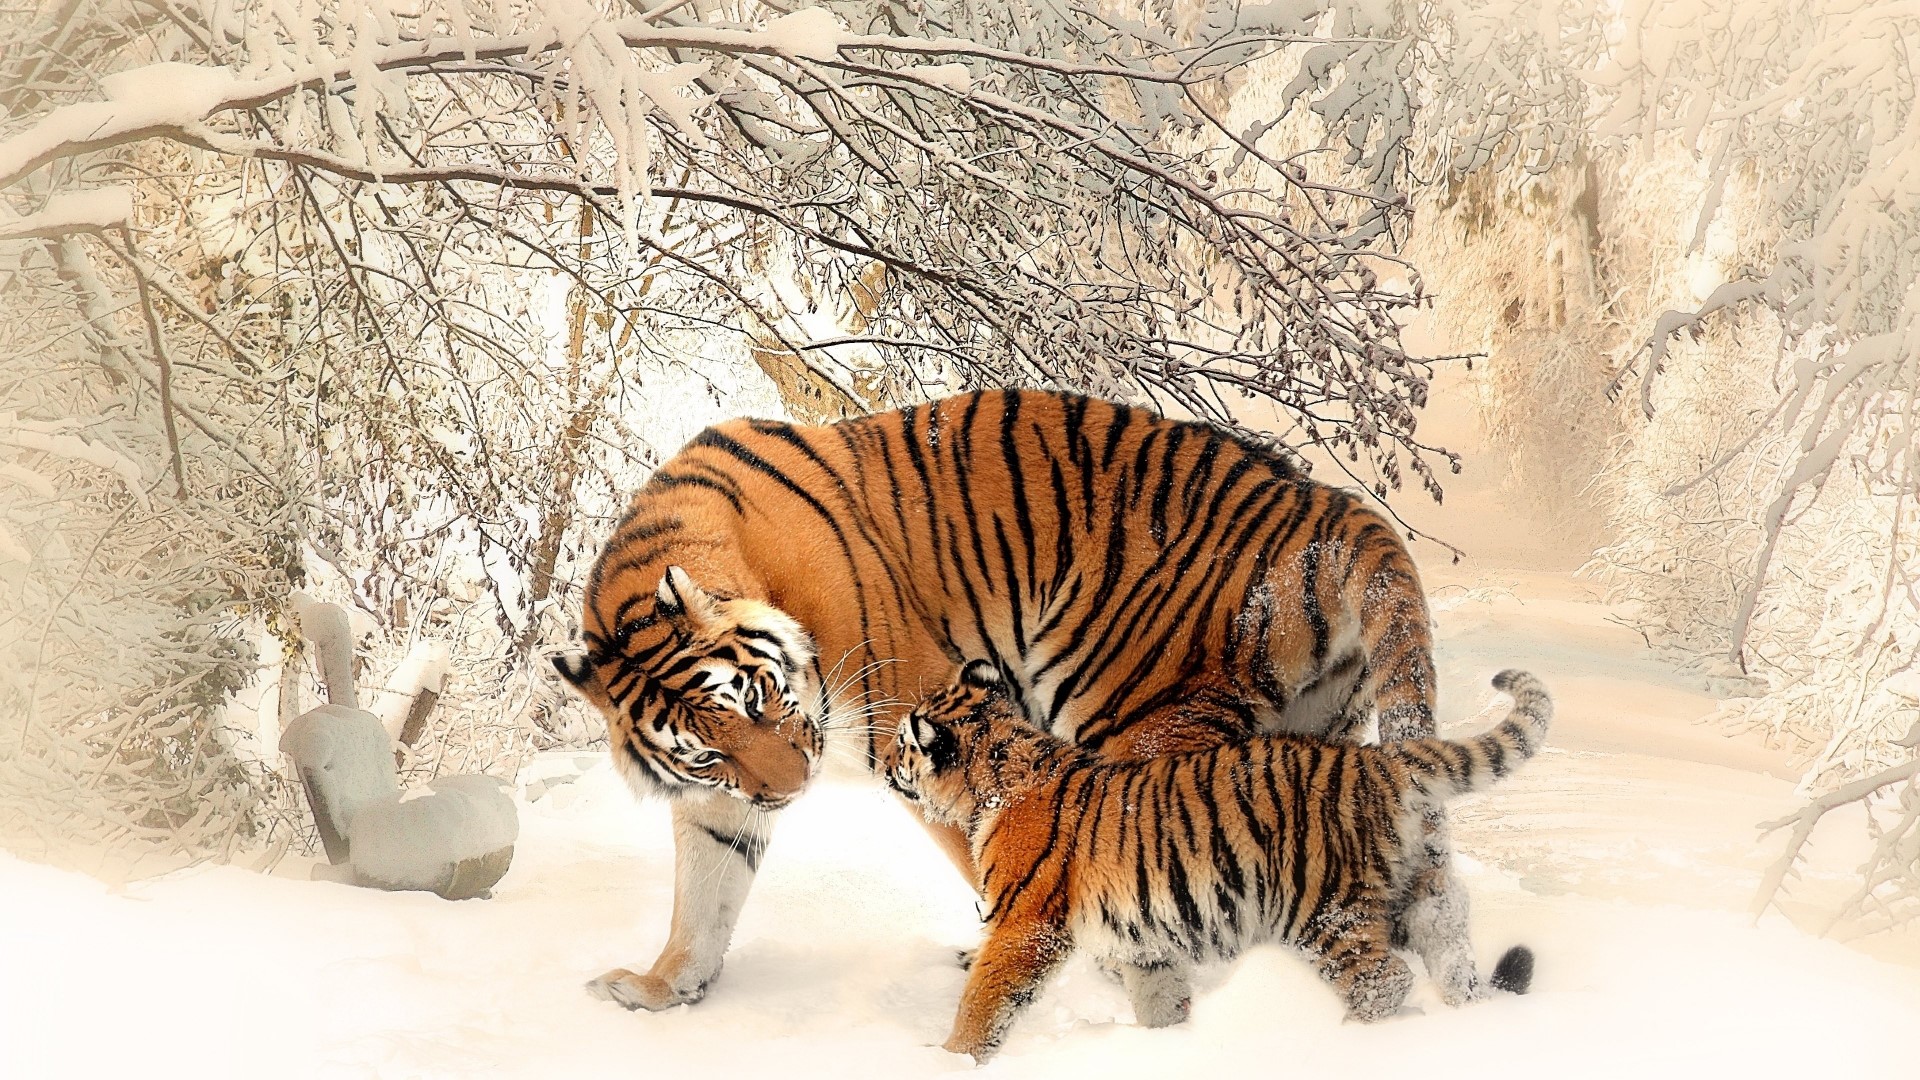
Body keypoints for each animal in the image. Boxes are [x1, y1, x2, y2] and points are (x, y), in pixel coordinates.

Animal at [552, 388, 1463, 1014]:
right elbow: (704, 894)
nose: (791, 790)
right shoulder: (721, 798)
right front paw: (661, 988)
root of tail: (1329, 504)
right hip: (1315, 737)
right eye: (708, 749)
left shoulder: (923, 722)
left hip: (1137, 717)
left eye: (758, 700)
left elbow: (995, 856)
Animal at [886, 660, 1551, 1063]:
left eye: (901, 742)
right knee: (1450, 951)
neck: (996, 776)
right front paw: (1168, 1047)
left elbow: (984, 1000)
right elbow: (1159, 998)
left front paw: (950, 1058)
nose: (886, 765)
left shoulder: (1024, 925)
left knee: (1383, 980)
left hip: (1324, 909)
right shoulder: (1143, 941)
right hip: (1416, 894)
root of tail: (1376, 760)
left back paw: (1346, 1043)